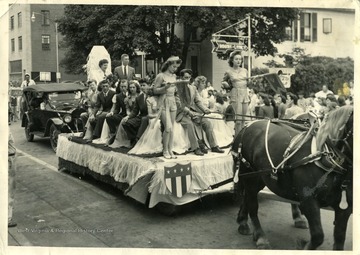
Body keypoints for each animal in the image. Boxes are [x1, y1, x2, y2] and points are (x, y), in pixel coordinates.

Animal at [232, 105, 352, 249]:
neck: (326, 157)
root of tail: (247, 125)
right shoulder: (308, 201)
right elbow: (318, 236)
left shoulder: (344, 209)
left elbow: (339, 238)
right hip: (249, 176)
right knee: (252, 203)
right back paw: (260, 236)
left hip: (259, 177)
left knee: (248, 196)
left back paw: (243, 222)